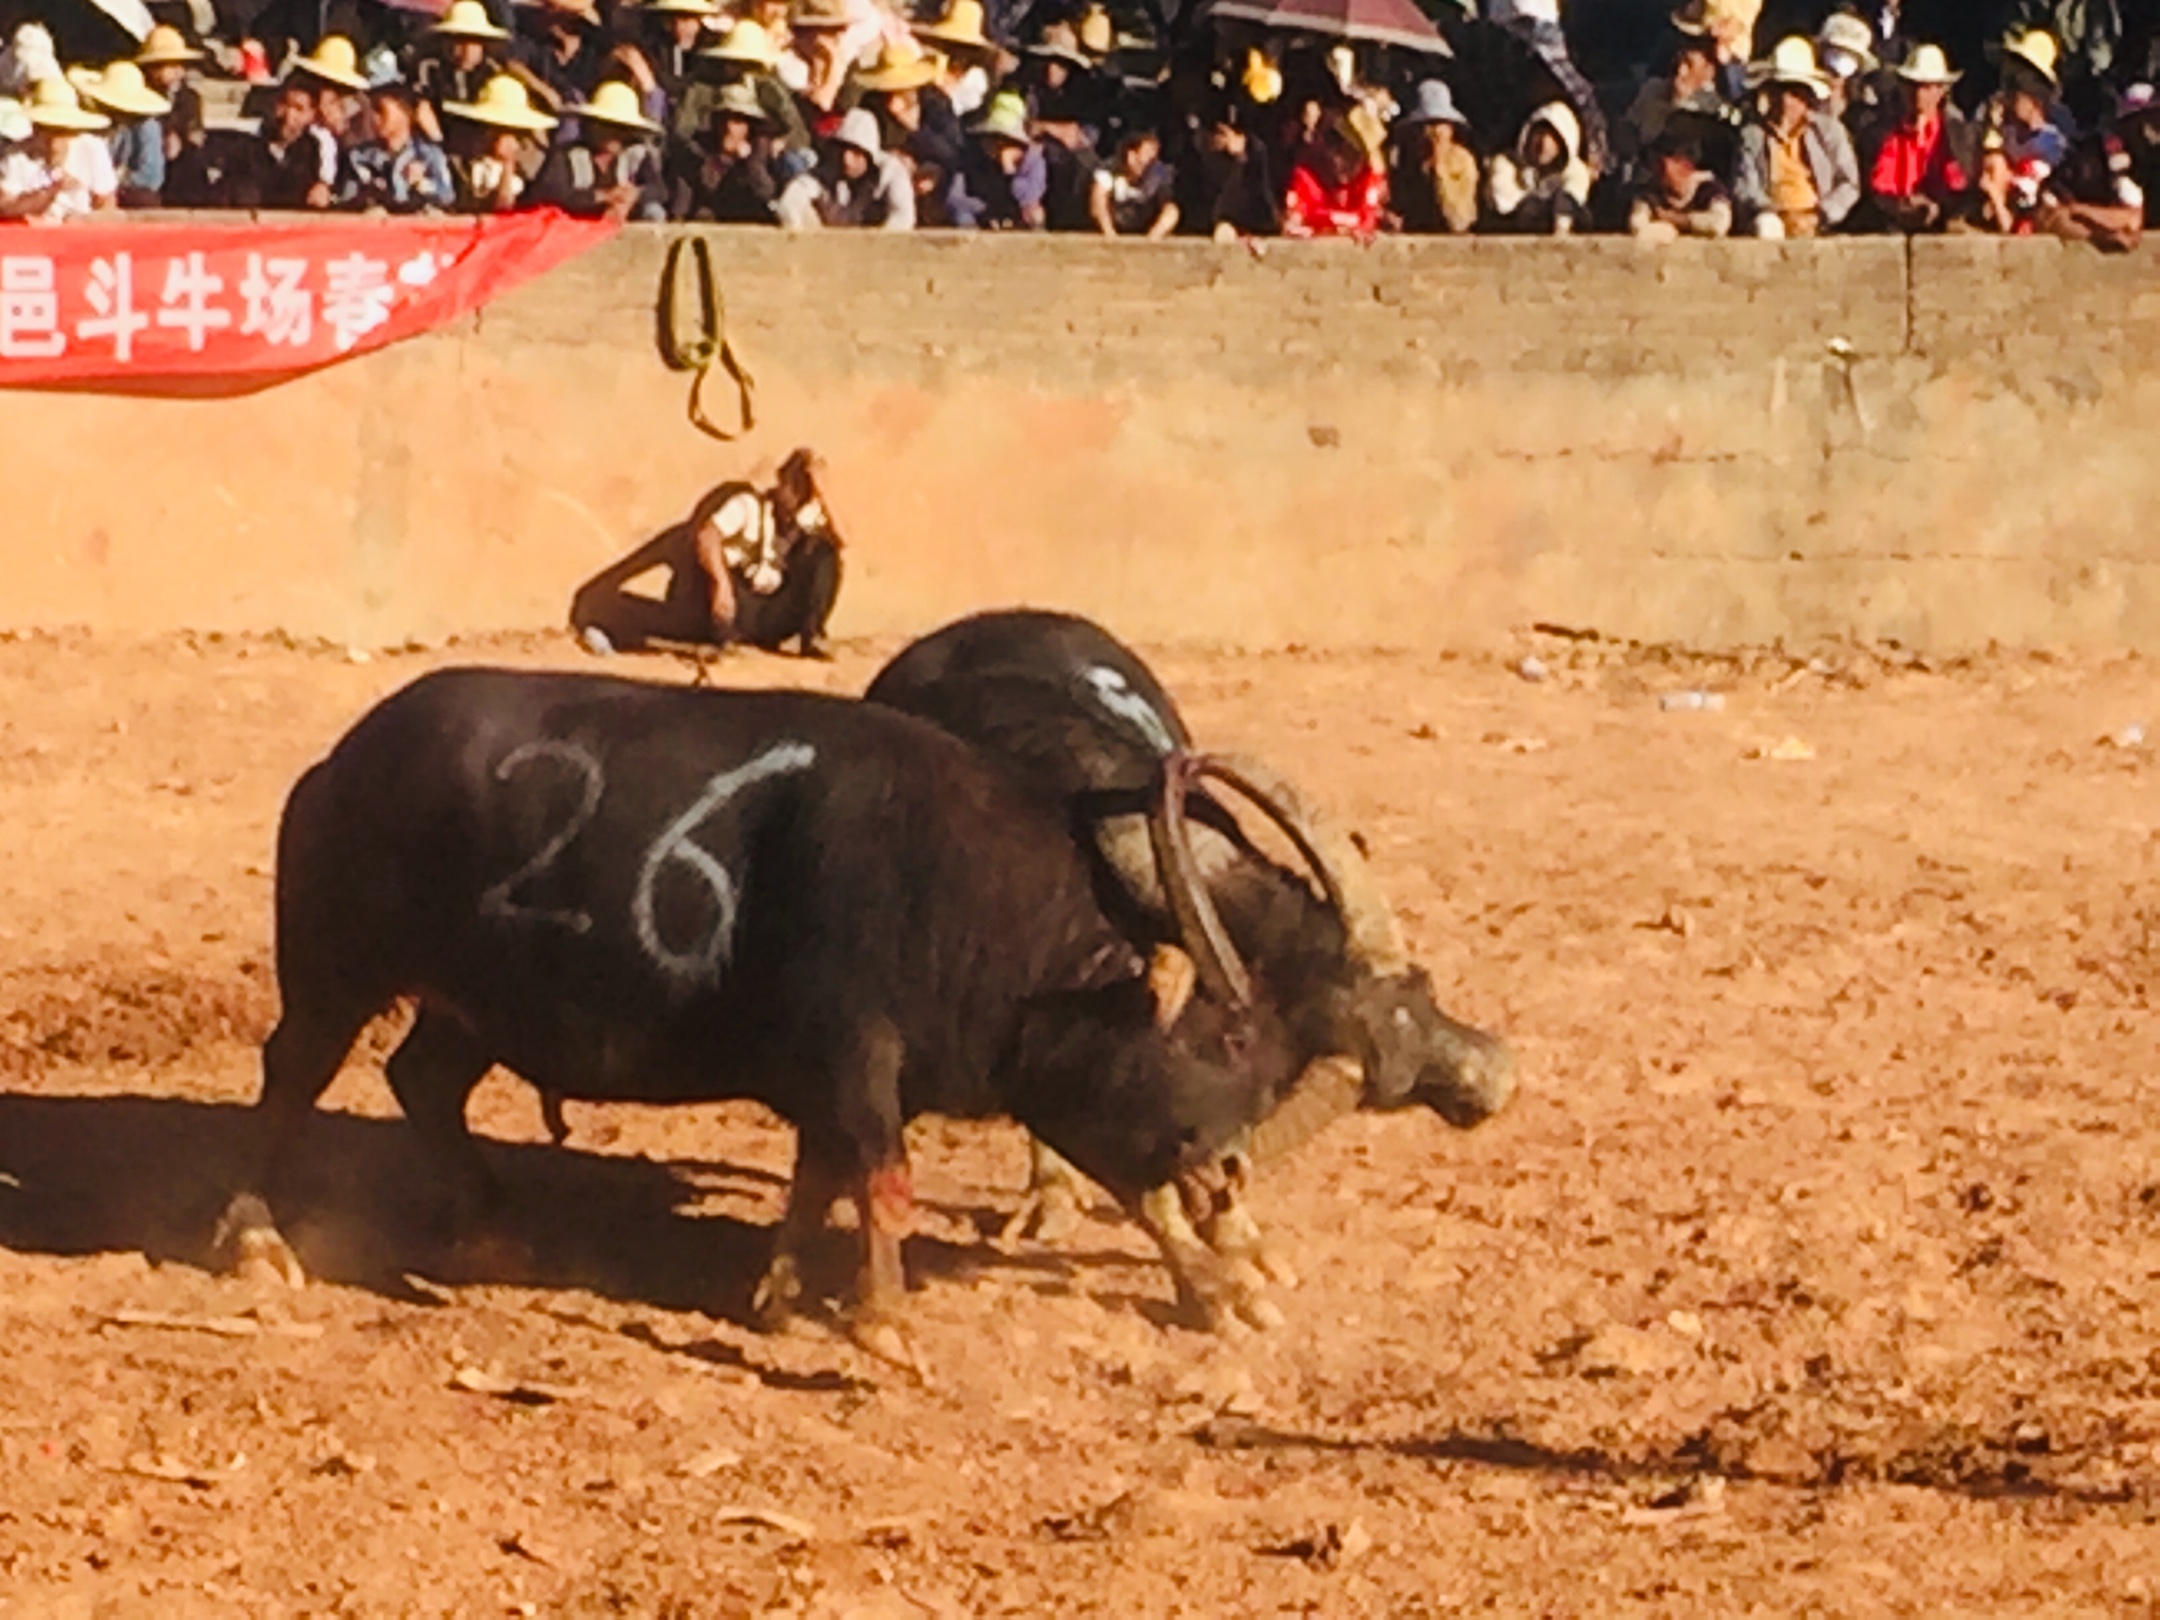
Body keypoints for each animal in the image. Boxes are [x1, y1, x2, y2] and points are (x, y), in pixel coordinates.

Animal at [219, 665, 1296, 1365]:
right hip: (336, 970)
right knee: (292, 1075)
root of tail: (339, 765)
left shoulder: (834, 1082)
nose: (1229, 1169)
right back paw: (256, 1237)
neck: (974, 903)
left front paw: (781, 1296)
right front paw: (884, 1326)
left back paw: (489, 1231)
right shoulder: (861, 1059)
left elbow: (819, 1179)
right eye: (1229, 1038)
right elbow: (883, 1182)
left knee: (423, 1080)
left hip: (470, 1004)